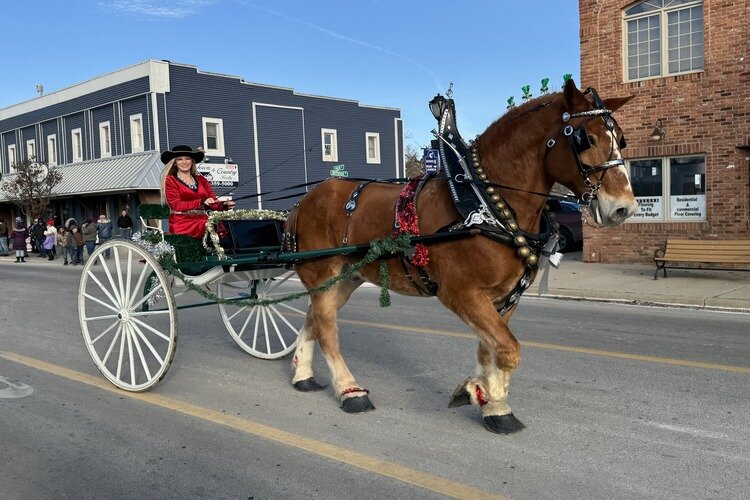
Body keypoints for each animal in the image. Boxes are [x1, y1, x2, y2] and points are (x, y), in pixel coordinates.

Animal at [284, 78, 636, 434]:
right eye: (585, 138)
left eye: (621, 139)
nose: (624, 208)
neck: (486, 203)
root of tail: (303, 201)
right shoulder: (460, 292)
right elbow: (509, 349)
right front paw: (485, 394)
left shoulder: (504, 297)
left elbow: (491, 349)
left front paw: (489, 399)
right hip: (323, 273)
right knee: (328, 328)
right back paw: (349, 390)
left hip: (344, 279)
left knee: (316, 317)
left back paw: (303, 374)